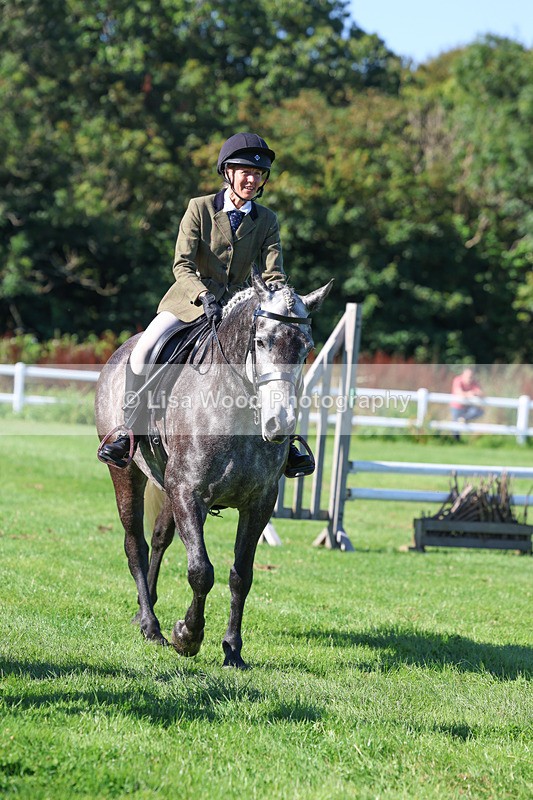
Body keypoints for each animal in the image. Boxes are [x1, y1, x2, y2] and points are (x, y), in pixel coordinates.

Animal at [95, 268, 332, 668]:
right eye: (261, 342)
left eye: (306, 346)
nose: (280, 424)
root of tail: (122, 349)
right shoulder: (189, 493)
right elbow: (201, 571)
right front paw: (187, 636)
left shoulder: (259, 503)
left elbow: (241, 575)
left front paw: (232, 650)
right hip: (127, 474)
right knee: (134, 545)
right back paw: (151, 626)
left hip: (166, 485)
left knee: (159, 539)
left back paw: (146, 610)